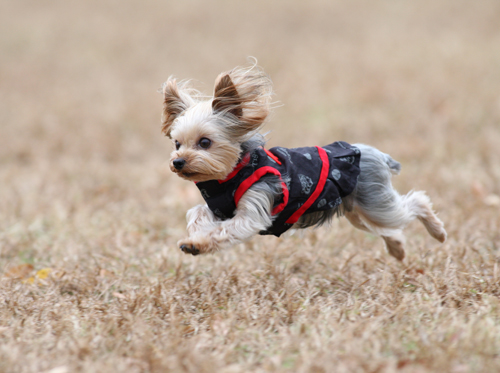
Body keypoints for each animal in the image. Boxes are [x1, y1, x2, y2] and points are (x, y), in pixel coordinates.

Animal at [162, 61, 448, 258]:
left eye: (205, 143)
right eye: (177, 144)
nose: (178, 162)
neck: (229, 177)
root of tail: (375, 153)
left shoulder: (253, 208)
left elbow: (227, 229)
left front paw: (197, 244)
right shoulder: (216, 207)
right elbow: (196, 213)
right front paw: (193, 240)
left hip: (375, 203)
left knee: (415, 203)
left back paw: (439, 233)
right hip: (358, 210)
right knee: (387, 227)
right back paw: (397, 249)